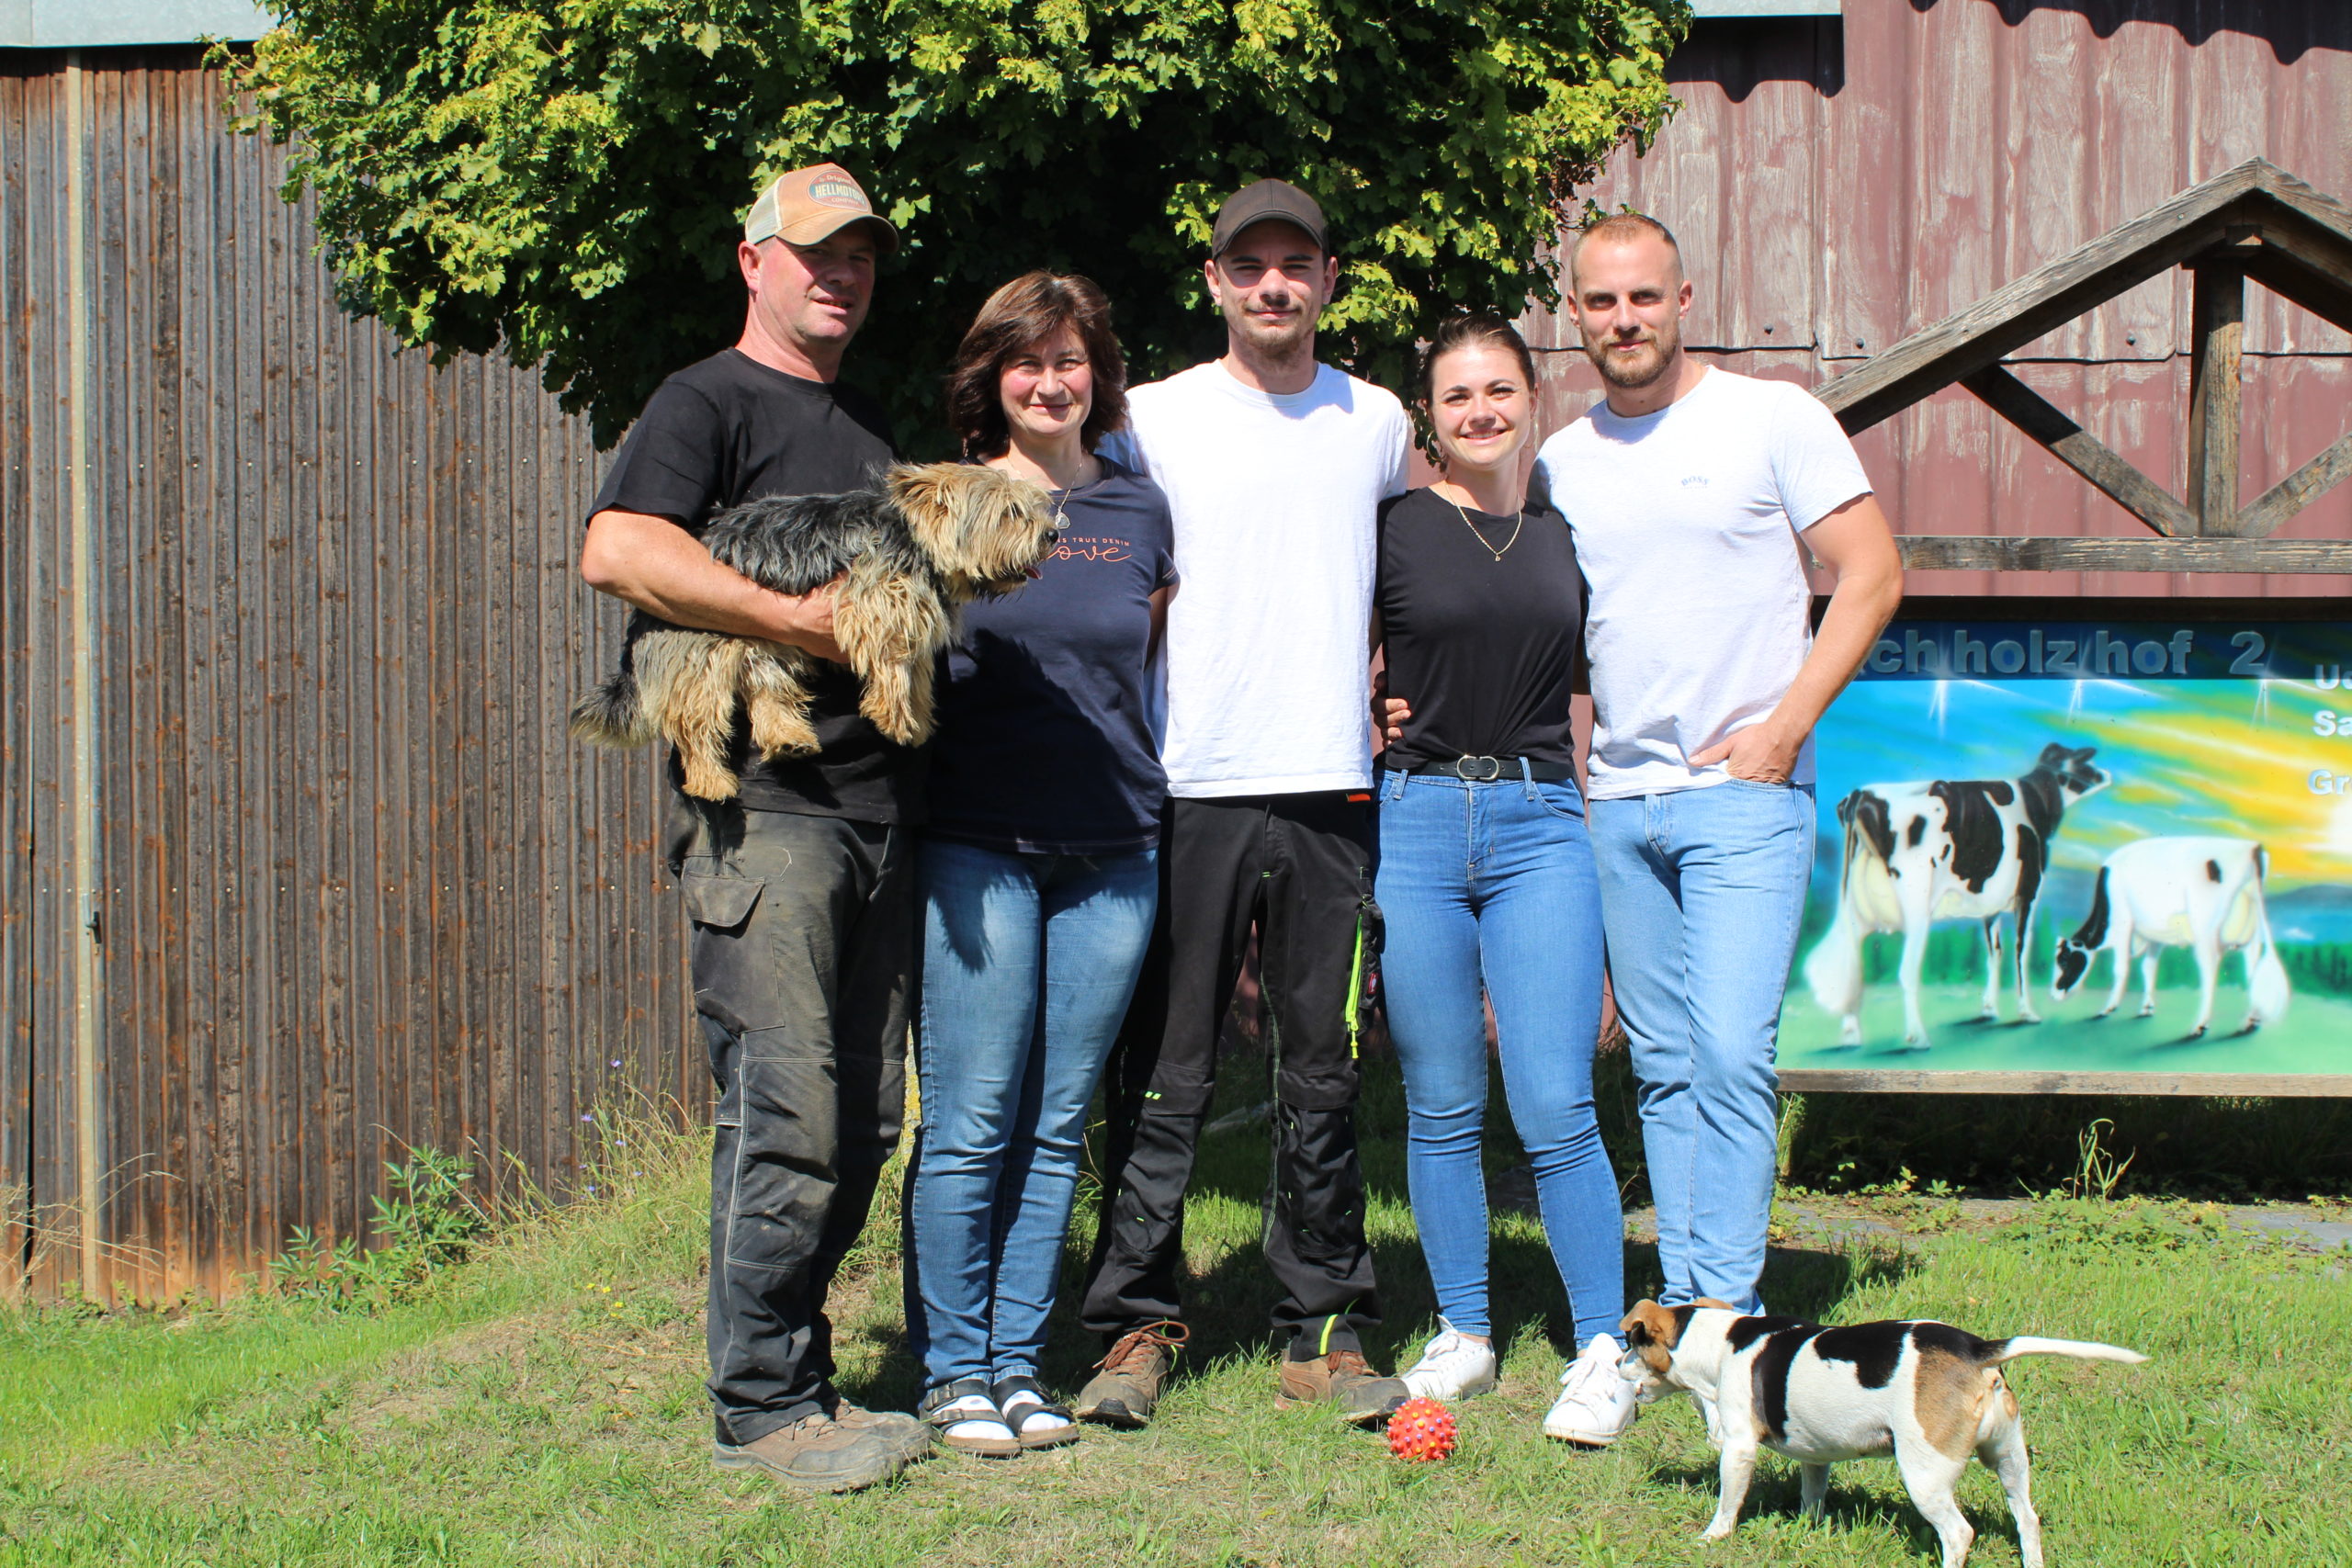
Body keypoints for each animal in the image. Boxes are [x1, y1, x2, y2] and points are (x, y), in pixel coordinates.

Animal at [569, 453, 1058, 799]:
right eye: (1011, 512)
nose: (1052, 534)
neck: (916, 541)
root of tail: (638, 618)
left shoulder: (916, 618)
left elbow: (917, 673)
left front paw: (918, 719)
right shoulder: (877, 605)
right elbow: (893, 664)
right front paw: (894, 717)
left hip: (766, 640)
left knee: (768, 691)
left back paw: (790, 739)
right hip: (699, 650)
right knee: (696, 721)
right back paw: (713, 782)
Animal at [1618, 1297, 2154, 1568]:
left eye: (1632, 1342)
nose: (1618, 1365)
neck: (1721, 1343)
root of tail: (1977, 1350)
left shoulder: (1738, 1448)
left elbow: (1728, 1502)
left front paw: (1712, 1537)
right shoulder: (1816, 1455)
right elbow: (1813, 1495)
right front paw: (1808, 1529)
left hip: (1924, 1474)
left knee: (1960, 1533)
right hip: (2009, 1460)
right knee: (2027, 1520)